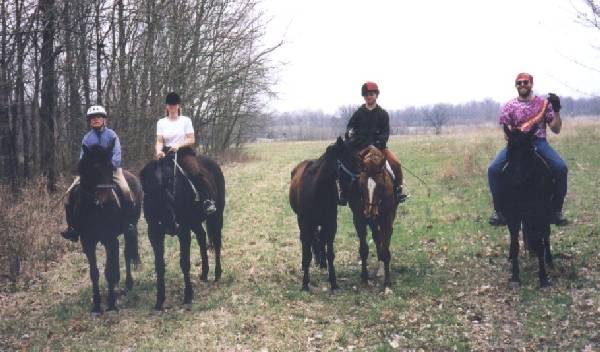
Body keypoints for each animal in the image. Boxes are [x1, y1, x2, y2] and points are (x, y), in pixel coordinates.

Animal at [70, 142, 142, 314]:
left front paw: (111, 304)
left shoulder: (110, 239)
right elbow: (95, 273)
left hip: (129, 229)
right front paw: (96, 305)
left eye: (110, 166)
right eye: (94, 167)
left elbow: (109, 271)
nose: (107, 197)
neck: (95, 207)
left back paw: (128, 284)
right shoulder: (88, 242)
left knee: (126, 254)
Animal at [140, 148, 225, 310]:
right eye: (149, 196)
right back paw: (204, 273)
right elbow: (159, 265)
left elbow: (184, 263)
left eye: (169, 187)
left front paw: (188, 296)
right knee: (202, 237)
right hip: (195, 222)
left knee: (217, 243)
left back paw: (217, 275)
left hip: (216, 216)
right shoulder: (154, 234)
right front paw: (159, 300)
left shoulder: (183, 231)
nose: (170, 226)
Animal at [290, 136, 354, 290]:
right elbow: (307, 252)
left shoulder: (330, 224)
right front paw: (305, 283)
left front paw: (333, 281)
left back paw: (322, 261)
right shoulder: (305, 223)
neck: (317, 189)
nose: (347, 194)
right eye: (347, 160)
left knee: (320, 239)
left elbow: (330, 252)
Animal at [356, 145, 398, 286]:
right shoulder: (360, 219)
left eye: (380, 185)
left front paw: (387, 280)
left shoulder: (387, 219)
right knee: (377, 236)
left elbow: (386, 248)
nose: (370, 212)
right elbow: (364, 249)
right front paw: (364, 276)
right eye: (361, 184)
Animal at [496, 125, 552, 288]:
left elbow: (539, 244)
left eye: (529, 150)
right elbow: (515, 245)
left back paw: (550, 261)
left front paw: (543, 277)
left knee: (546, 236)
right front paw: (515, 277)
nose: (517, 179)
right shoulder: (513, 216)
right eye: (509, 149)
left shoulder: (538, 214)